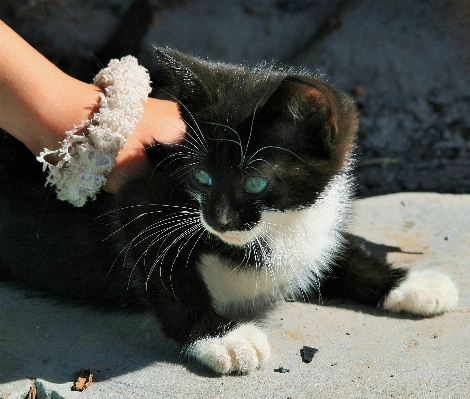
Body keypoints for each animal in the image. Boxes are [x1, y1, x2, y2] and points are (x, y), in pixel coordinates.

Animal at [0, 47, 458, 376]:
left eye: (255, 182)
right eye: (201, 177)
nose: (217, 221)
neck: (277, 226)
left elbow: (330, 253)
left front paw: (410, 283)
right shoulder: (142, 197)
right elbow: (171, 278)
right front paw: (220, 337)